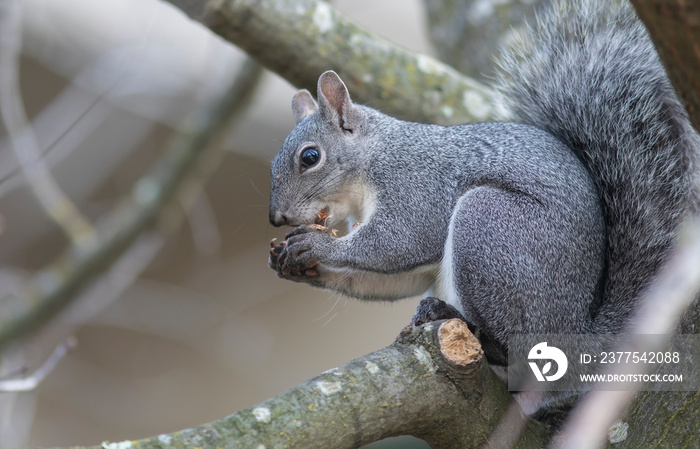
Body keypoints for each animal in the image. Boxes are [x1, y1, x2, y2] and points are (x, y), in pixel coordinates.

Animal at [268, 0, 700, 416]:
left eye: (310, 157)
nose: (276, 217)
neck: (374, 156)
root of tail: (577, 335)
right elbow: (395, 278)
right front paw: (294, 263)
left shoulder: (415, 186)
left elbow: (399, 242)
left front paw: (317, 247)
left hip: (489, 229)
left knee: (515, 352)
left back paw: (460, 323)